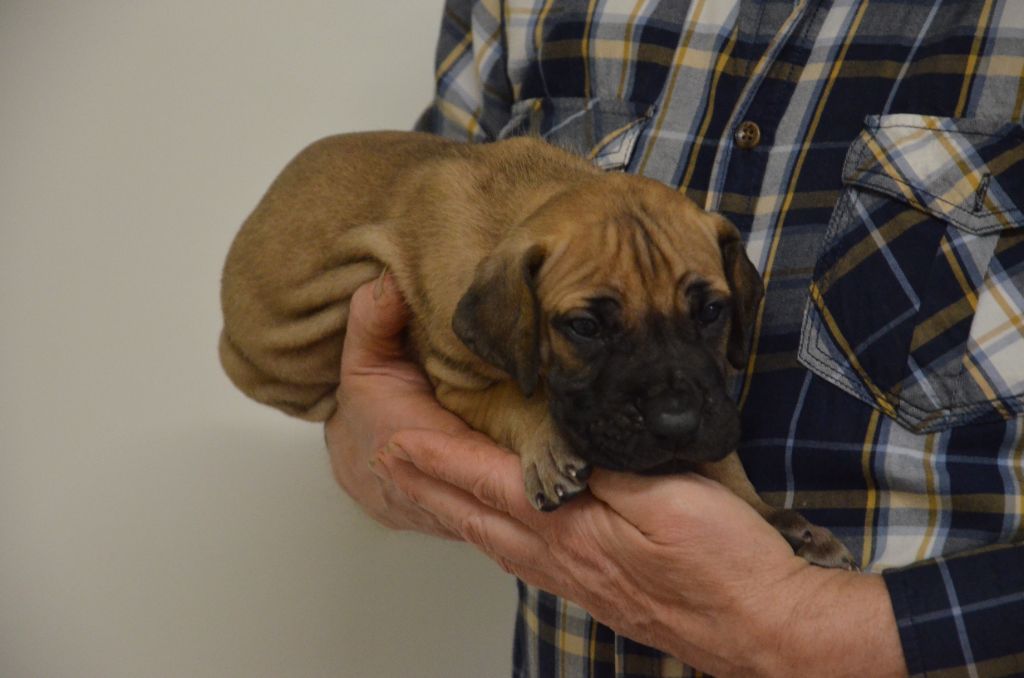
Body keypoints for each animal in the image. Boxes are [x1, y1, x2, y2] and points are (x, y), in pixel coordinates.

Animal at [220, 131, 856, 569]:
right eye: (585, 327)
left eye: (711, 311)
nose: (675, 423)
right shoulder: (457, 378)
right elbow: (516, 397)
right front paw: (547, 447)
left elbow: (724, 458)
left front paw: (768, 515)